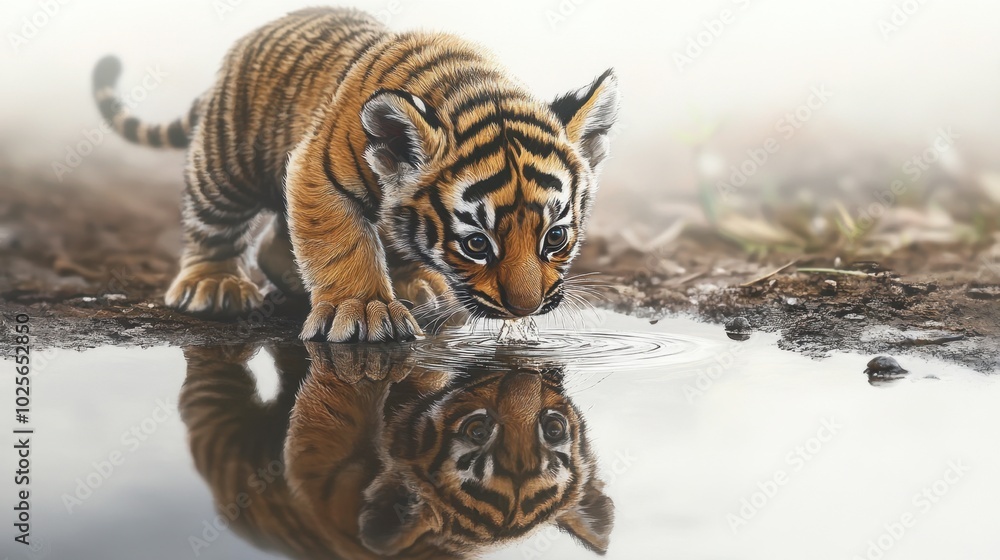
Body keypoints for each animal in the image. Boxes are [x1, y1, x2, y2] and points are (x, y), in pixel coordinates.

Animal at [92, 6, 619, 342]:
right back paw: (214, 284)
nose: (524, 311)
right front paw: (365, 313)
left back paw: (411, 285)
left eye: (555, 237)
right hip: (227, 164)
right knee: (215, 223)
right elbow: (342, 245)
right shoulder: (317, 171)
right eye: (476, 244)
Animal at [180, 342, 614, 558]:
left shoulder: (322, 447)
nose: (525, 377)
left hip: (219, 419)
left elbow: (350, 385)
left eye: (553, 428)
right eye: (477, 430)